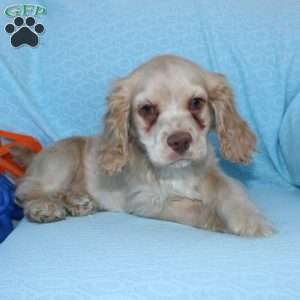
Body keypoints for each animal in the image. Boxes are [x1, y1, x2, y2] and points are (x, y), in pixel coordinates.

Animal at [15, 54, 274, 237]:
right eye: (147, 109)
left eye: (196, 103)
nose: (180, 140)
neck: (177, 172)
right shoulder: (148, 201)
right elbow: (194, 207)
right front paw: (221, 221)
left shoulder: (209, 171)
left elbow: (231, 188)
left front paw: (250, 219)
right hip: (62, 158)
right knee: (26, 191)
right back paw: (44, 208)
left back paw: (79, 202)